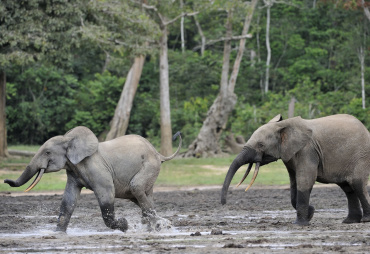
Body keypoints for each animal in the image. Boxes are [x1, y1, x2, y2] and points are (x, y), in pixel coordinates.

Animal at [3, 126, 181, 232]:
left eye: (47, 153)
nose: (5, 181)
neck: (69, 139)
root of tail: (158, 153)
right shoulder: (73, 171)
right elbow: (68, 199)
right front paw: (58, 233)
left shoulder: (96, 169)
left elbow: (107, 193)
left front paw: (124, 225)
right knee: (139, 196)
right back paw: (156, 226)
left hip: (149, 166)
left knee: (136, 187)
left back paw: (156, 226)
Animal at [221, 114, 370, 225]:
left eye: (261, 144)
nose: (223, 203)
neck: (282, 125)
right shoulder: (290, 155)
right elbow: (294, 183)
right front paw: (310, 213)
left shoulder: (307, 150)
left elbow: (305, 180)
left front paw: (300, 223)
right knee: (348, 188)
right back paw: (349, 221)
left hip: (361, 156)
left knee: (357, 184)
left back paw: (365, 220)